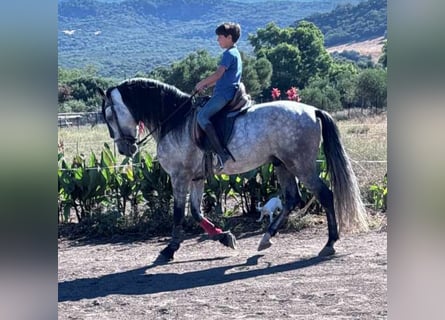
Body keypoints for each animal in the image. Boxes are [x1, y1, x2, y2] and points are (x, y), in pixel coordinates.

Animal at [98, 78, 368, 262]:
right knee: (292, 198)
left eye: (109, 115)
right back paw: (266, 239)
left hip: (301, 165)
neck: (174, 120)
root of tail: (312, 110)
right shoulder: (196, 178)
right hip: (282, 164)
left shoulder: (179, 176)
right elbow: (196, 213)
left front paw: (169, 250)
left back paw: (329, 244)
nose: (124, 148)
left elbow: (178, 214)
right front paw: (225, 238)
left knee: (325, 195)